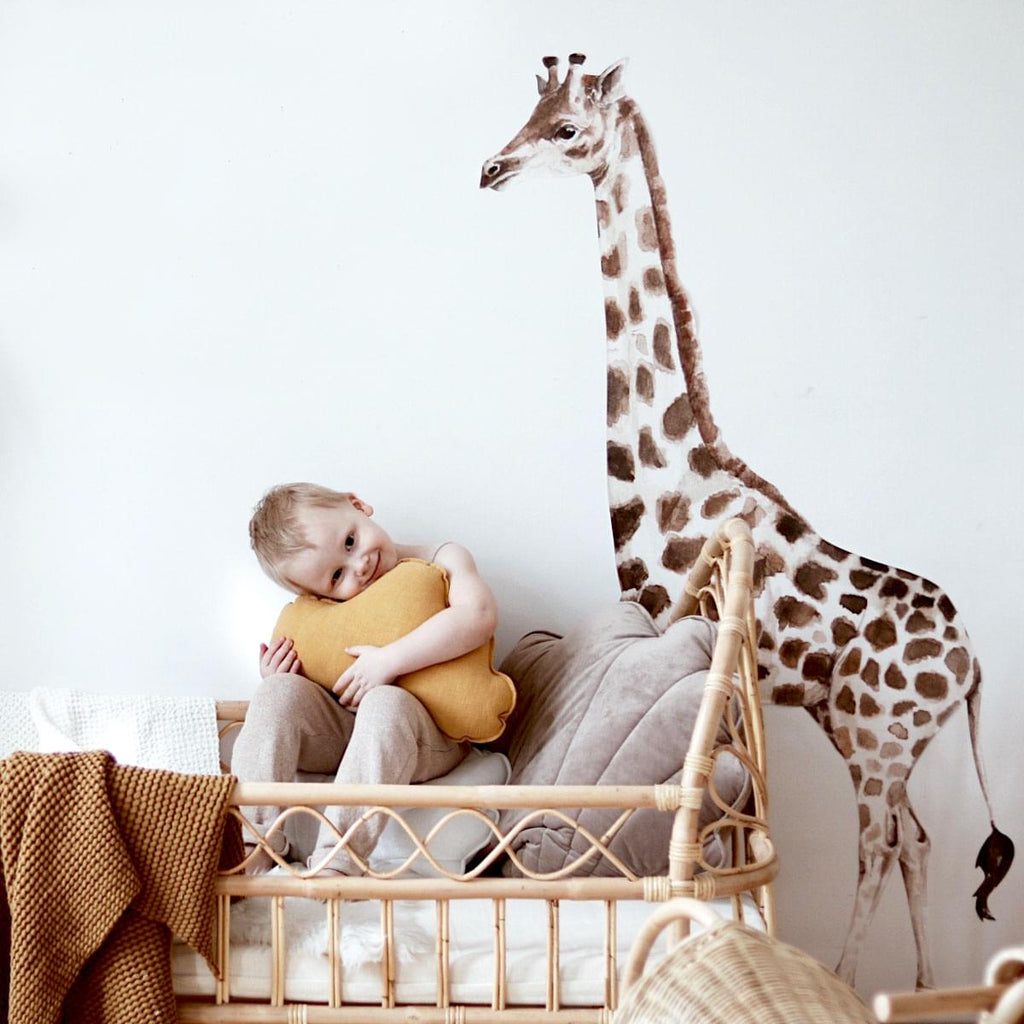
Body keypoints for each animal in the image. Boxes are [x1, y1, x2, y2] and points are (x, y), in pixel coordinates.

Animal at [480, 54, 1013, 989]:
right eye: (529, 110)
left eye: (567, 129)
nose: (491, 168)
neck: (682, 481)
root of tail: (971, 663)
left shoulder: (680, 632)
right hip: (870, 733)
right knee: (916, 839)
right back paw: (920, 987)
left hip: (878, 739)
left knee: (881, 842)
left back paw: (846, 979)